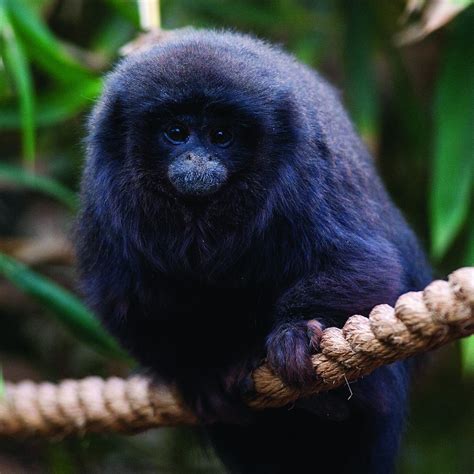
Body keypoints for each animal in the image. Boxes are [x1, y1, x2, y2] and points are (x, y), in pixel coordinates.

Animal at [75, 30, 434, 474]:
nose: (197, 159)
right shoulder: (105, 193)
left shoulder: (303, 169)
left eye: (220, 136)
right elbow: (124, 301)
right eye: (176, 132)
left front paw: (294, 333)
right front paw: (201, 373)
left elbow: (363, 264)